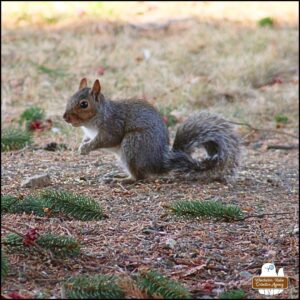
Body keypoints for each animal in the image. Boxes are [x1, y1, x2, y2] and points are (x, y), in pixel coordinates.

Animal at [63, 78, 241, 183]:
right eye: (70, 98)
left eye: (84, 104)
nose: (65, 117)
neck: (92, 122)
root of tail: (158, 163)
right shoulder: (90, 133)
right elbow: (87, 139)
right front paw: (82, 146)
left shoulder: (113, 126)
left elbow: (105, 140)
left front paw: (87, 148)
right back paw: (118, 175)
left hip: (133, 143)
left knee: (139, 177)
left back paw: (122, 180)